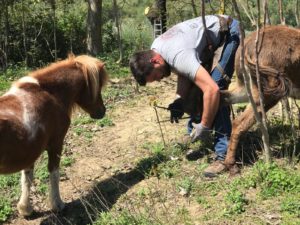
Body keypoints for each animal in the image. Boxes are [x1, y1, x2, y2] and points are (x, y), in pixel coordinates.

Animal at [0, 54, 108, 216]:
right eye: (98, 86)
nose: (102, 112)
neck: (49, 93)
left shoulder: (30, 151)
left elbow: (27, 178)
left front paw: (25, 208)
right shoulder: (56, 144)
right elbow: (54, 173)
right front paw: (58, 205)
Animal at [183, 24, 300, 172]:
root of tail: (249, 44)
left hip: (247, 88)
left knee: (223, 98)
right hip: (268, 93)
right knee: (239, 123)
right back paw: (230, 163)